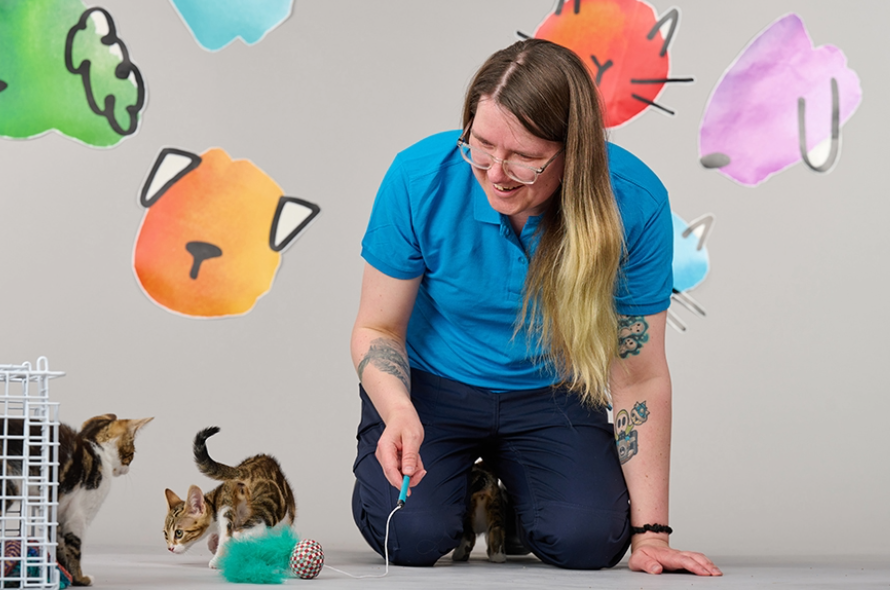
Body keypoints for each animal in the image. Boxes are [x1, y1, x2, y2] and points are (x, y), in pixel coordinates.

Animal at [2, 416, 153, 588]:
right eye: (131, 454)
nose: (127, 469)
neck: (98, 451)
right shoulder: (79, 516)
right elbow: (74, 548)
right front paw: (80, 578)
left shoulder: (58, 514)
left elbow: (59, 546)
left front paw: (64, 573)